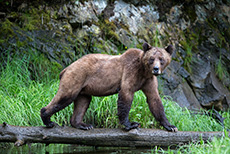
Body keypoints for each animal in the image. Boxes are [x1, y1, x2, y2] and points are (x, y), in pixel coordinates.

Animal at [40, 42, 178, 132]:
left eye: (161, 59)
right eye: (151, 58)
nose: (156, 69)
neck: (144, 71)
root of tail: (66, 68)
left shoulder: (148, 81)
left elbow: (154, 99)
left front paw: (170, 126)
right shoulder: (131, 72)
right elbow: (126, 94)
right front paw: (130, 124)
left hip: (83, 89)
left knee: (83, 102)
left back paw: (82, 124)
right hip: (75, 77)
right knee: (65, 96)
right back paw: (47, 119)